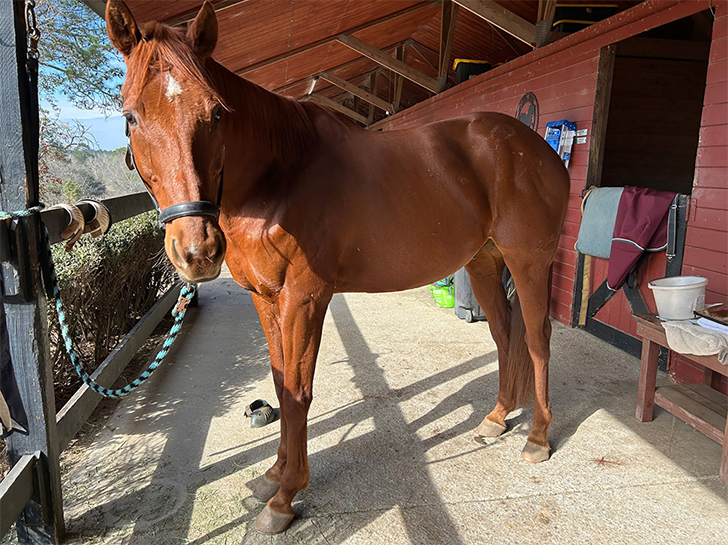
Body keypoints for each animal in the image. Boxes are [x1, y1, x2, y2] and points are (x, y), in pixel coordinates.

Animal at [106, 0, 570, 534]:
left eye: (217, 112)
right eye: (131, 117)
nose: (198, 250)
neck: (280, 175)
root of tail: (535, 147)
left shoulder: (305, 298)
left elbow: (297, 393)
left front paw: (285, 497)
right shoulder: (267, 298)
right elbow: (279, 381)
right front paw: (272, 475)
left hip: (529, 261)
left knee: (537, 339)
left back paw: (537, 437)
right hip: (484, 263)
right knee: (504, 335)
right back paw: (496, 418)